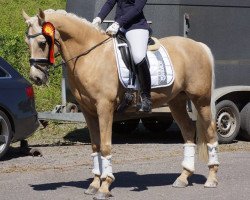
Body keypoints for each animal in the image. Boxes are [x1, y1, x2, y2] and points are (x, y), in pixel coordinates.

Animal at [23, 9, 219, 200]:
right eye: (27, 42)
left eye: (42, 42)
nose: (36, 77)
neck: (90, 56)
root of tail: (198, 45)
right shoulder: (88, 111)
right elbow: (95, 146)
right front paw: (94, 185)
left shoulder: (104, 108)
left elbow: (105, 146)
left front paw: (104, 187)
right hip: (176, 101)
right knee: (188, 131)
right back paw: (183, 177)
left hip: (201, 100)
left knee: (210, 132)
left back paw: (211, 179)